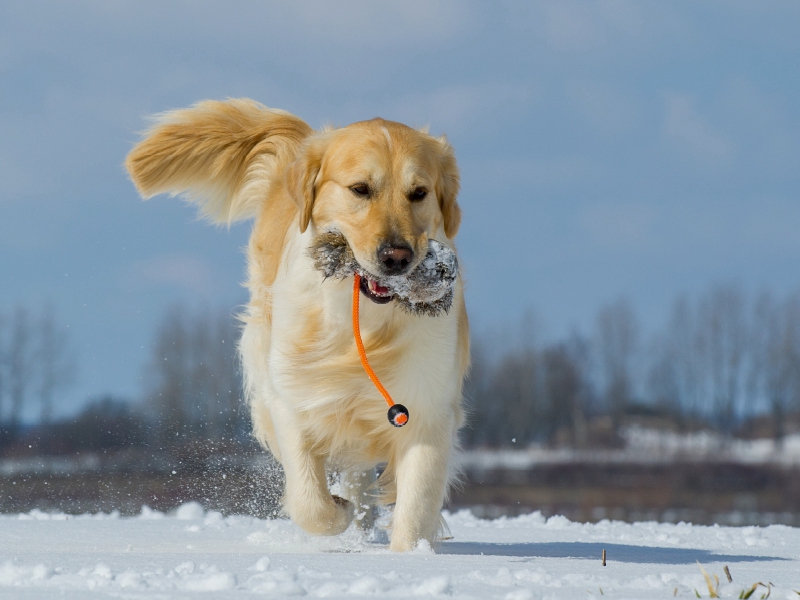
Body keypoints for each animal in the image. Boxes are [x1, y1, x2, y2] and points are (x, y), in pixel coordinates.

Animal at [126, 99, 468, 552]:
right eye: (360, 189)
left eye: (419, 193)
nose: (397, 257)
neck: (364, 323)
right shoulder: (293, 397)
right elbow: (311, 501)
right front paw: (336, 511)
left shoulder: (428, 409)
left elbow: (415, 507)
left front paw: (409, 556)